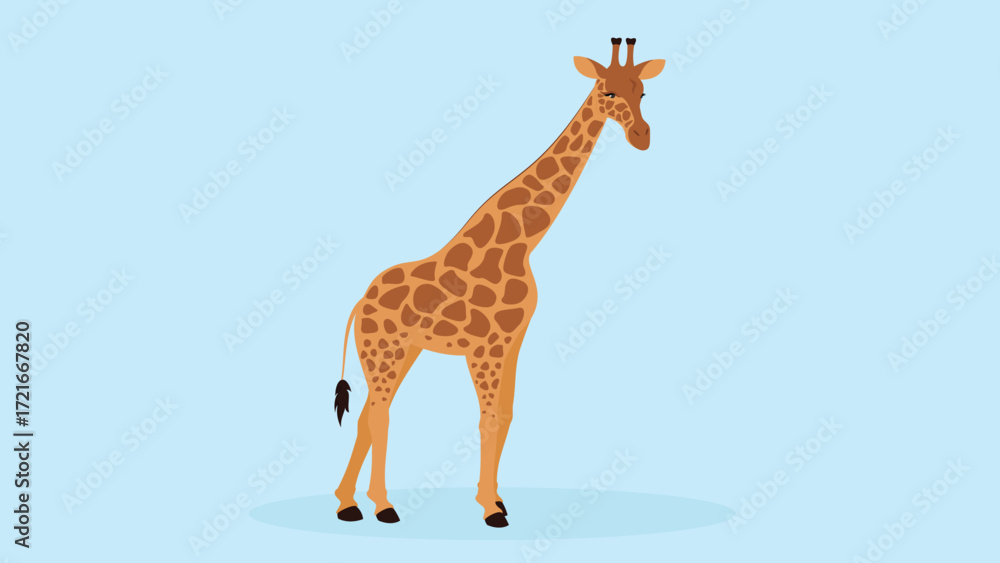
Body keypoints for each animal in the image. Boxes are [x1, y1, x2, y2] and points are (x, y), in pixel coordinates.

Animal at [333, 38, 665, 528]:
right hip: (384, 349)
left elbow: (506, 415)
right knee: (379, 414)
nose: (642, 137)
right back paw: (382, 506)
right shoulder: (485, 347)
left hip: (402, 350)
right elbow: (488, 419)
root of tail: (360, 301)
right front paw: (491, 511)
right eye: (607, 91)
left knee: (370, 414)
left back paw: (352, 503)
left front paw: (497, 499)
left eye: (642, 92)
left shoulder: (511, 341)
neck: (520, 242)